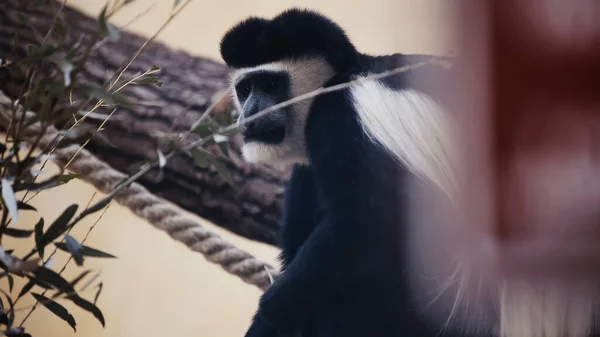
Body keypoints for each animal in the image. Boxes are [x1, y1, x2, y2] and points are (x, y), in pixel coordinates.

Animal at [220, 7, 600, 336]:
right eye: (245, 88)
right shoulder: (308, 168)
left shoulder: (342, 117)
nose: (248, 114)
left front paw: (274, 306)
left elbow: (370, 218)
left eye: (270, 85)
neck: (338, 81)